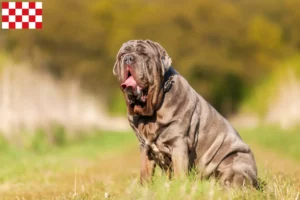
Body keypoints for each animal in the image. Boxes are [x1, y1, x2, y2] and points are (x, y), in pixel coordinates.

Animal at [112, 39, 258, 188]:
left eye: (144, 54)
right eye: (122, 54)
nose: (128, 58)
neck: (151, 112)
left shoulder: (178, 143)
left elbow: (179, 172)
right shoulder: (145, 147)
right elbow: (145, 173)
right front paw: (144, 188)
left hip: (236, 162)